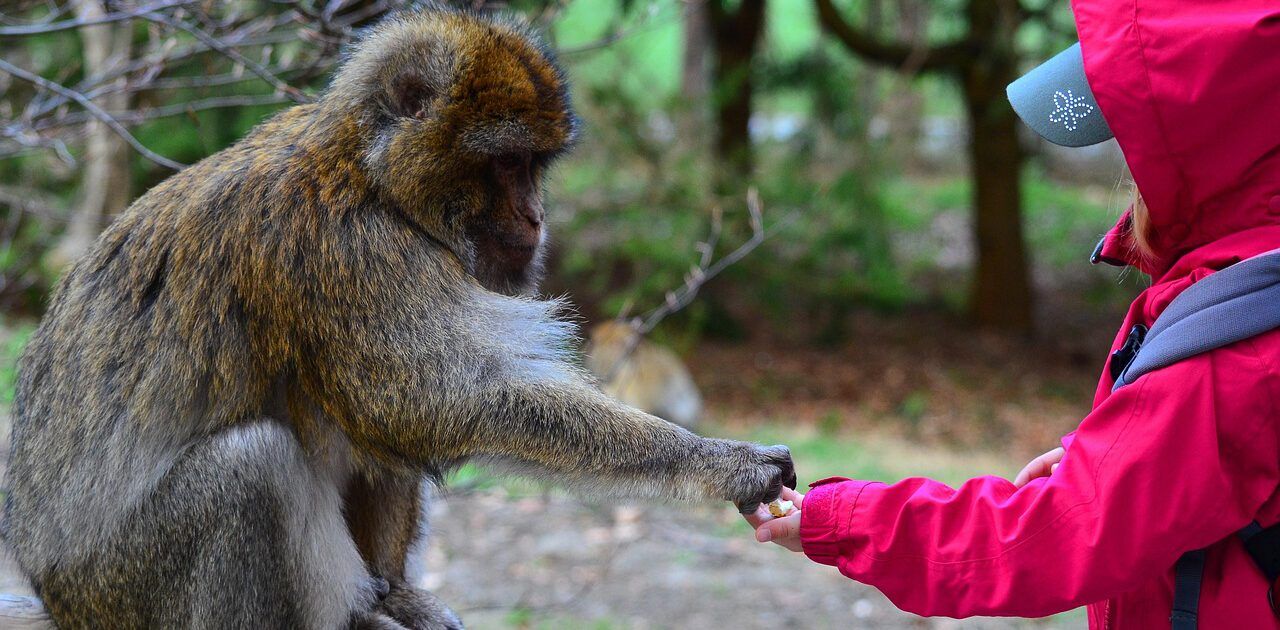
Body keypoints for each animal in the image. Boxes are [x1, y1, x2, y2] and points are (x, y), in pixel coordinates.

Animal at [2, 8, 794, 630]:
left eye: (537, 164)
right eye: (507, 164)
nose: (536, 218)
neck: (369, 175)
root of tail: (52, 586)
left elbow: (406, 421)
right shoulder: (345, 253)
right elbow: (434, 403)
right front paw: (718, 461)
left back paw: (382, 599)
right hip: (123, 589)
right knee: (251, 468)